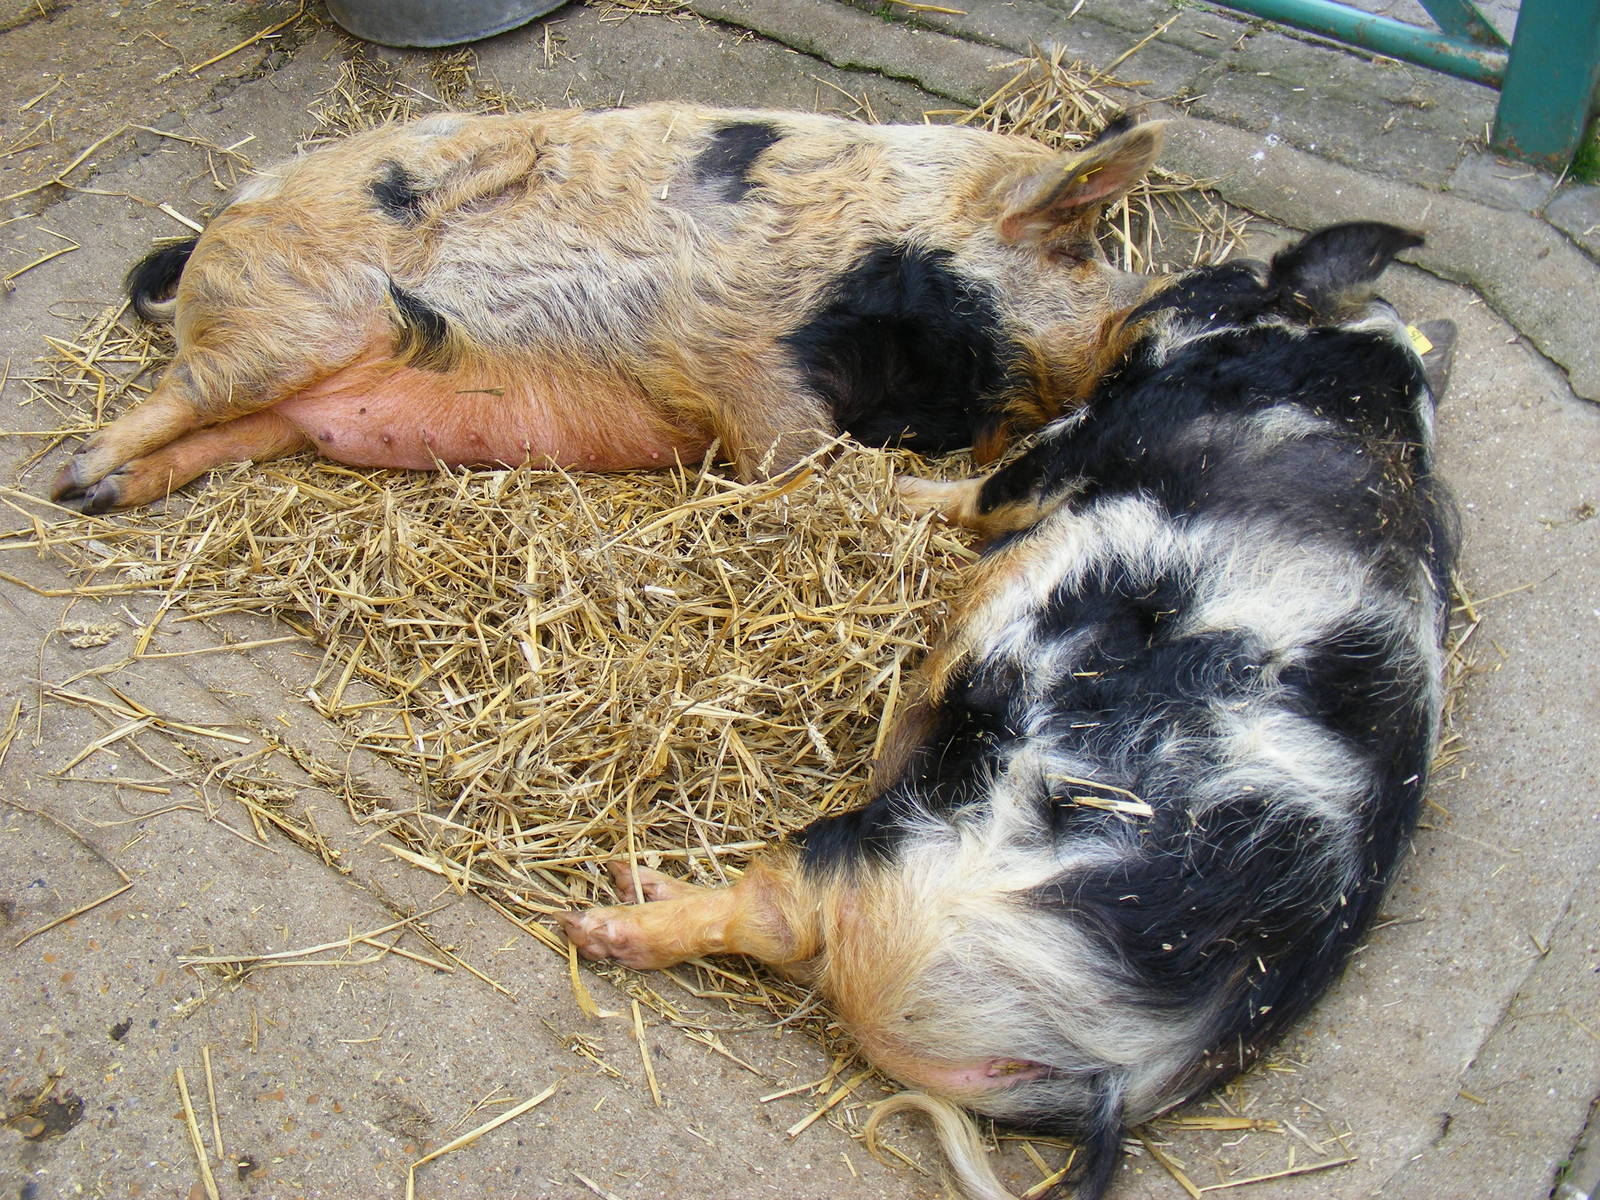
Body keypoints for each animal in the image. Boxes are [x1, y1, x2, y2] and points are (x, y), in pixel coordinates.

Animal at [50, 104, 1165, 512]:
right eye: (1075, 249)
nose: (1146, 308)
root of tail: (221, 221)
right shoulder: (753, 365)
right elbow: (806, 468)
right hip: (282, 326)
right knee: (183, 391)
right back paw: (72, 478)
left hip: (288, 413)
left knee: (220, 434)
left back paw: (103, 495)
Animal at [559, 223, 1458, 1200]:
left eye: (1222, 276)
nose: (1127, 307)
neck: (1336, 367)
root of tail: (1117, 1069)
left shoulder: (1082, 441)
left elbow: (984, 492)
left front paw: (893, 490)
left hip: (907, 842)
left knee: (777, 913)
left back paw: (606, 912)